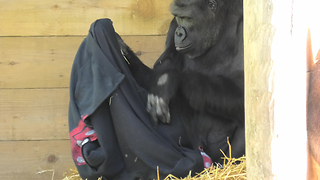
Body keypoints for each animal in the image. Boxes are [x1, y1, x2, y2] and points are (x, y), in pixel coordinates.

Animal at [116, 0, 244, 163]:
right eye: (178, 17)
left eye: (187, 18)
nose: (179, 33)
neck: (220, 25)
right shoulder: (172, 27)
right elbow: (155, 76)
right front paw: (126, 54)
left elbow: (245, 93)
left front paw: (170, 80)